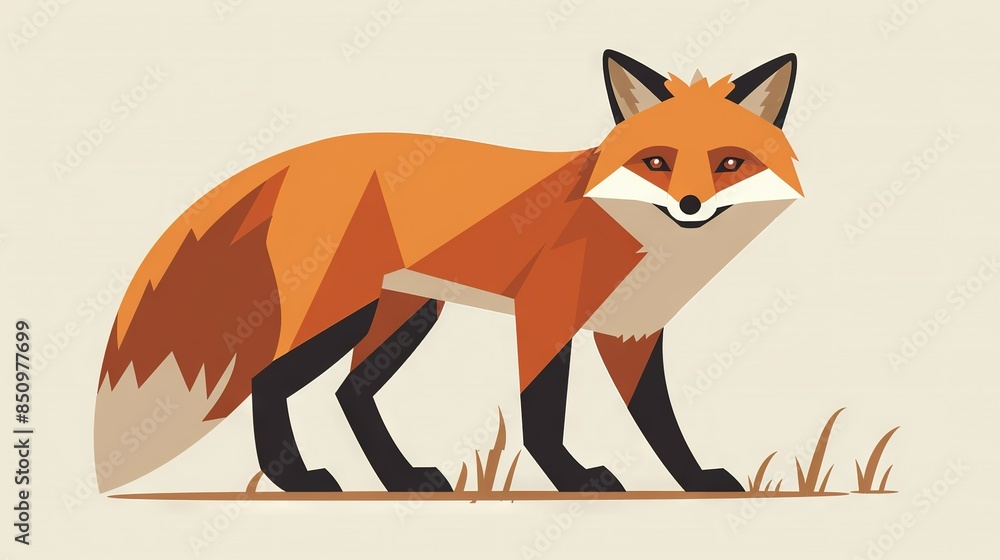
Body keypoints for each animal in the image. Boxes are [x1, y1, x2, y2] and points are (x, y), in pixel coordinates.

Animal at [95, 50, 803, 494]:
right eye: (657, 162)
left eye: (729, 162)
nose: (691, 205)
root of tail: (304, 155)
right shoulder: (546, 315)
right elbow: (543, 417)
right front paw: (574, 479)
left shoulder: (630, 332)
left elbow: (662, 425)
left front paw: (695, 480)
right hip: (342, 313)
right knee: (266, 380)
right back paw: (295, 479)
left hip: (406, 317)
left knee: (348, 394)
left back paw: (399, 478)